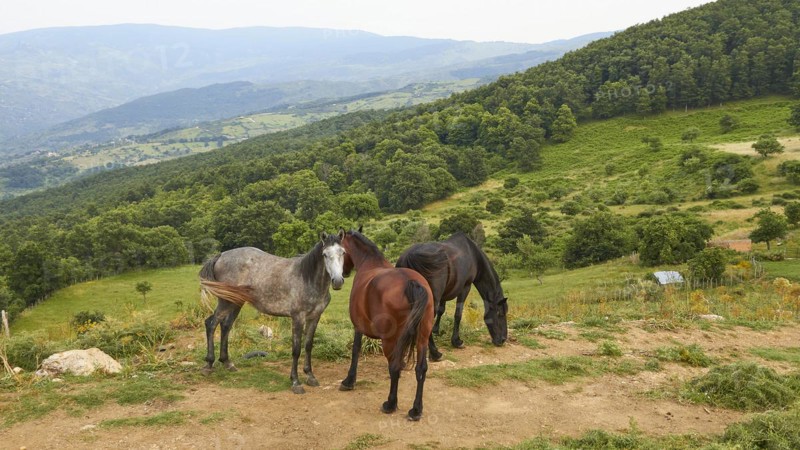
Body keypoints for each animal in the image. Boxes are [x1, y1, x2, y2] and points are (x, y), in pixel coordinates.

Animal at [199, 231, 346, 394]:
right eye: (325, 254)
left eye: (343, 252)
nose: (337, 281)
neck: (307, 278)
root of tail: (221, 255)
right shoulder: (298, 318)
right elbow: (296, 349)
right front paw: (295, 382)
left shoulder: (314, 317)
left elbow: (308, 346)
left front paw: (310, 376)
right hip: (225, 302)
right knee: (211, 323)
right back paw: (208, 365)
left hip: (235, 302)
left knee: (225, 326)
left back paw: (227, 363)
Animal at [338, 227, 441, 421]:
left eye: (341, 251)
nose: (343, 274)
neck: (369, 265)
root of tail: (411, 282)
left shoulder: (358, 327)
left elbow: (355, 350)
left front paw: (349, 380)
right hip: (422, 338)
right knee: (421, 369)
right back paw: (416, 410)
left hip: (390, 341)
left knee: (394, 367)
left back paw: (390, 403)